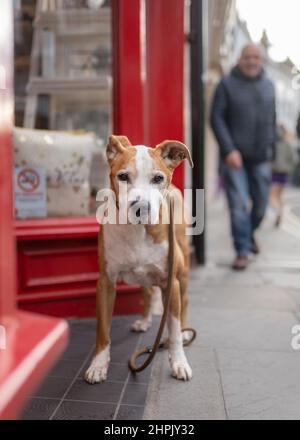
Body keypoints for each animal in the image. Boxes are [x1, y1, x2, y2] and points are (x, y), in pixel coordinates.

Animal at [84, 136, 193, 384]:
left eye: (158, 178)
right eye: (123, 176)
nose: (141, 207)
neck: (138, 231)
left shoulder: (171, 283)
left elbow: (172, 331)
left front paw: (179, 362)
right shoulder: (105, 282)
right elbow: (102, 330)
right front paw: (98, 364)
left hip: (182, 271)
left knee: (184, 304)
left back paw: (184, 331)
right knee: (147, 291)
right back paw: (144, 321)